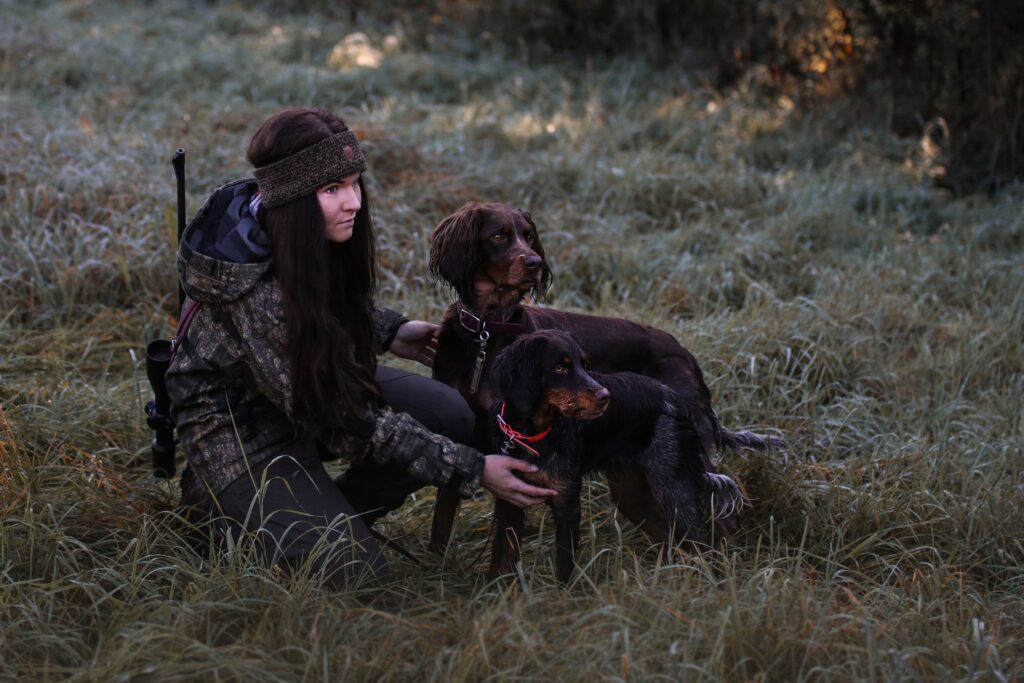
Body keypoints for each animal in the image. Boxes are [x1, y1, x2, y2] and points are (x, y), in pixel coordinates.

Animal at [487, 331, 745, 581]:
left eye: (584, 365)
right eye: (559, 368)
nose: (605, 396)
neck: (533, 434)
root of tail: (675, 398)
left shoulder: (566, 502)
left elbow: (563, 569)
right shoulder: (510, 499)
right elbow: (501, 560)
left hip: (674, 488)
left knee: (702, 542)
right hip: (632, 496)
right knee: (670, 540)